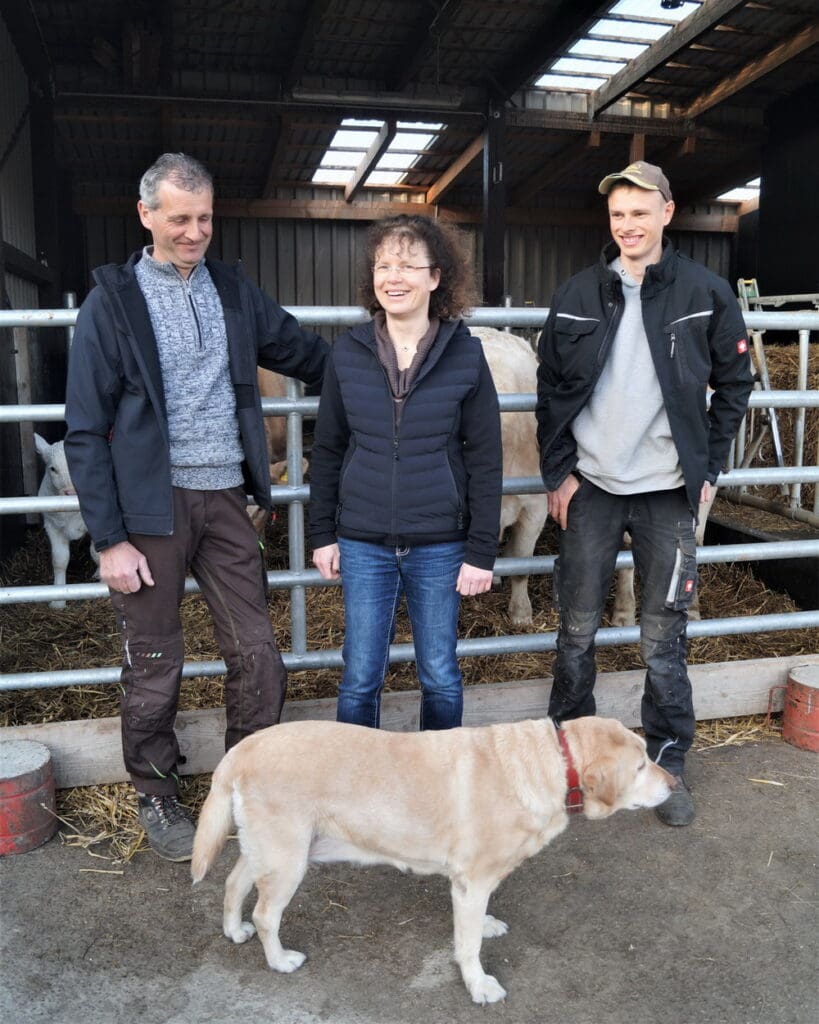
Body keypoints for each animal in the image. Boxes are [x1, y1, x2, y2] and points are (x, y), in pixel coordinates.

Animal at [34, 432, 99, 606]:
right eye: (53, 469)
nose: (70, 492)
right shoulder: (52, 525)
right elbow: (59, 560)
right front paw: (58, 602)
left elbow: (96, 552)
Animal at [190, 716, 671, 1003]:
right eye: (642, 765)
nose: (674, 783)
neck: (554, 761)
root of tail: (242, 748)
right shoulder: (471, 883)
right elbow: (468, 945)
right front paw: (479, 985)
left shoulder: (475, 883)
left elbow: (478, 923)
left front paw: (488, 924)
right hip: (288, 859)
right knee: (266, 914)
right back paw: (279, 960)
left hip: (269, 850)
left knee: (233, 884)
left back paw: (234, 930)